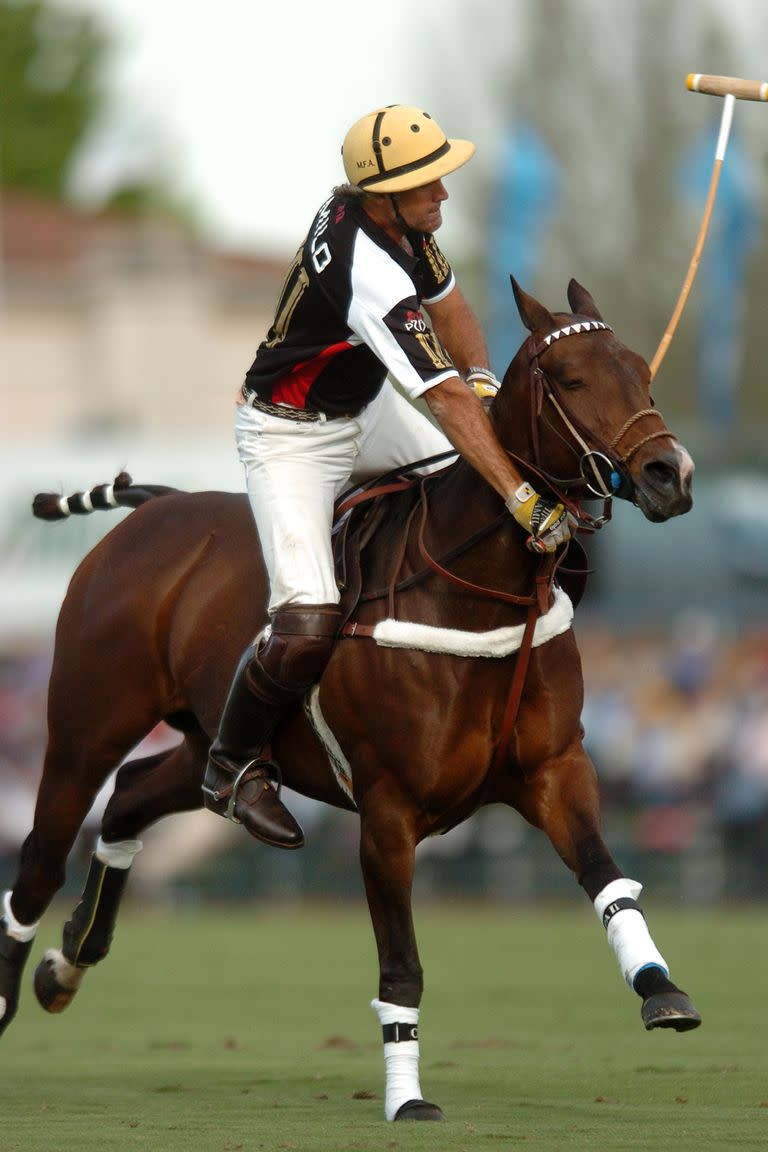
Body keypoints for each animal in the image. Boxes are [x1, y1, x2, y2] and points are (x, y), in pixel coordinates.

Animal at [0, 281, 700, 1124]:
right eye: (569, 378)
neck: (479, 593)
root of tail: (151, 509)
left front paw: (661, 990)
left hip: (205, 747)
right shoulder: (388, 810)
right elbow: (401, 965)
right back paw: (14, 989)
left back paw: (69, 961)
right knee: (42, 856)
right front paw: (408, 1098)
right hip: (85, 724)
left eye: (641, 371)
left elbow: (608, 878)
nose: (670, 474)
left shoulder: (555, 772)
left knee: (137, 795)